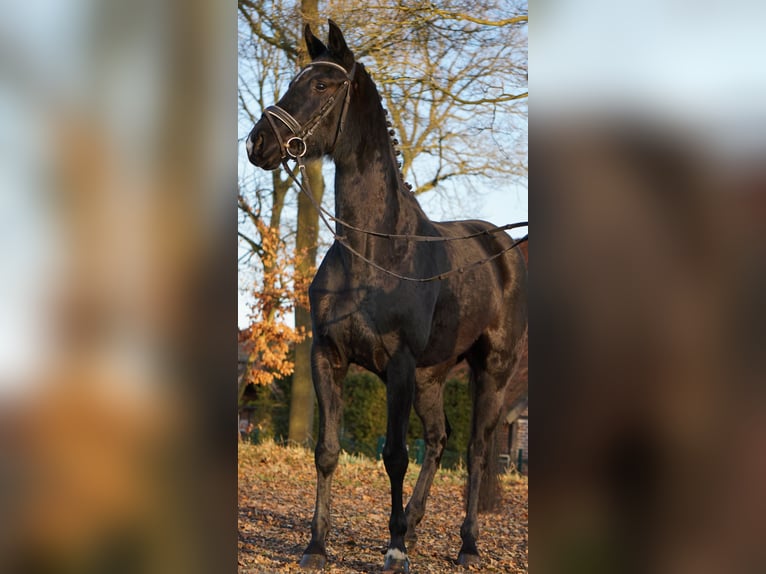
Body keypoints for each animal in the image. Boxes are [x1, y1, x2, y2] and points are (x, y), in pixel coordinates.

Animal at [248, 20, 528, 572]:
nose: (257, 142)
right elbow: (327, 450)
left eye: (323, 85)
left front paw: (394, 549)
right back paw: (415, 527)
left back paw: (463, 544)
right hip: (431, 377)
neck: (374, 254)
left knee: (474, 451)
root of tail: (501, 247)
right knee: (438, 441)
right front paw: (317, 545)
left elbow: (395, 455)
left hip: (491, 371)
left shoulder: (397, 363)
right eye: (294, 80)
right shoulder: (328, 356)